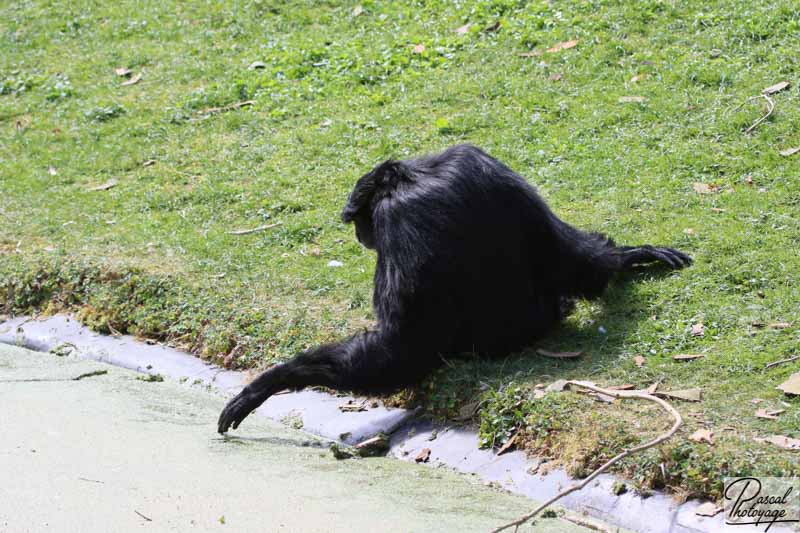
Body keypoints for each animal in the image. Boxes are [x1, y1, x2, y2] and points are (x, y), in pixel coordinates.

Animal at [217, 144, 688, 432]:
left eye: (360, 221)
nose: (358, 234)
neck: (416, 177)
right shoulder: (478, 160)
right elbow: (560, 249)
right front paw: (631, 256)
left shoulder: (397, 218)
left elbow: (403, 346)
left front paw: (274, 380)